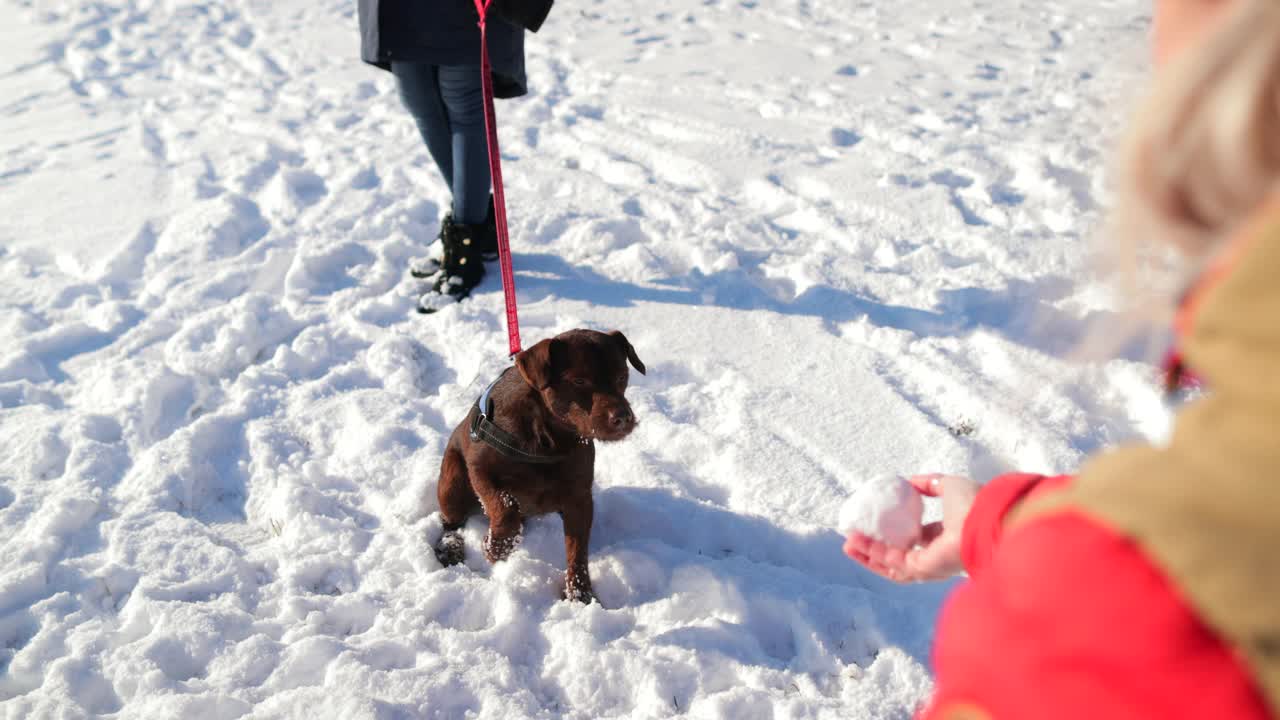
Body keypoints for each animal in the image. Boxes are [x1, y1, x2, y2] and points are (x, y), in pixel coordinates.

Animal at [435, 327, 645, 597]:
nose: (623, 418)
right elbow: (504, 508)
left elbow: (577, 551)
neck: (549, 438)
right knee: (451, 521)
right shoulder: (479, 470)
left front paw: (580, 595)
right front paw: (494, 547)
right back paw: (450, 547)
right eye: (579, 381)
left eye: (621, 377)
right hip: (451, 481)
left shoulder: (579, 498)